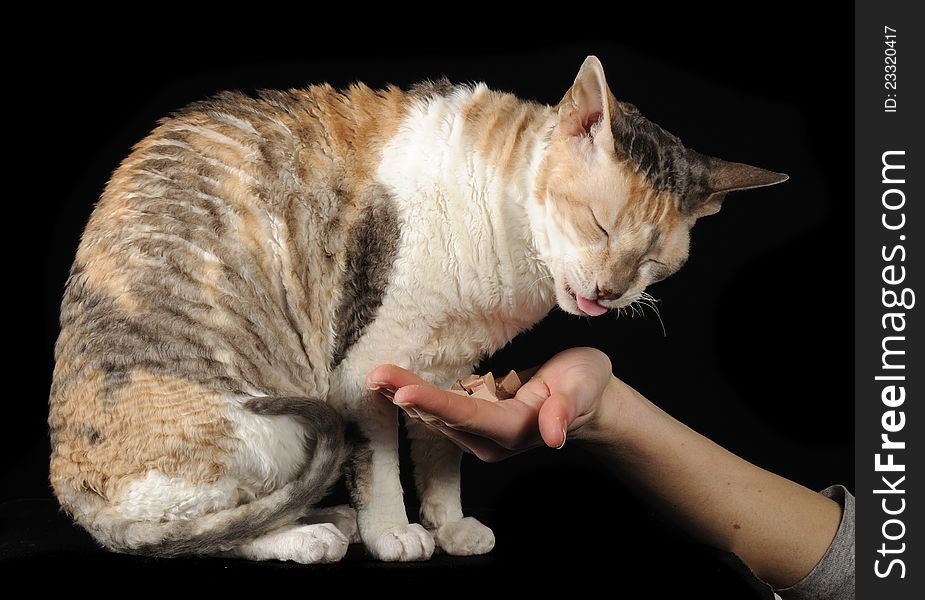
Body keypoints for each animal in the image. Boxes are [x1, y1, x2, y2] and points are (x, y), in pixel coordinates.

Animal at [48, 55, 788, 564]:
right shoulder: (365, 370)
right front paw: (394, 533)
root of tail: (69, 485)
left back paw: (326, 521)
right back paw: (310, 537)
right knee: (189, 535)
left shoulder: (446, 368)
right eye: (598, 226)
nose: (608, 293)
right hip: (261, 427)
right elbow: (378, 466)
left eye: (653, 262)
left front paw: (448, 524)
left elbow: (440, 453)